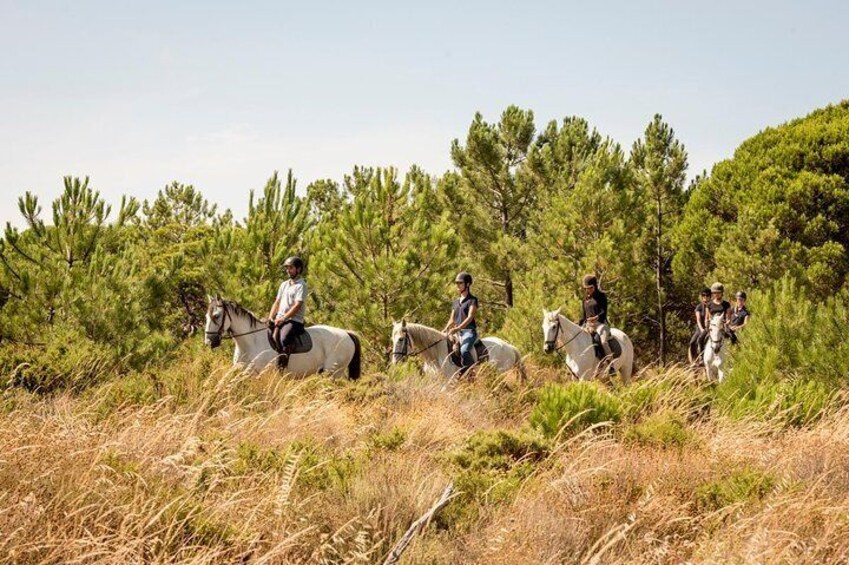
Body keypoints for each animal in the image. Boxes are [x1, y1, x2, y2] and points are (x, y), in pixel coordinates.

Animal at [207, 296, 362, 378]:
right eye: (206, 316)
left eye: (217, 316)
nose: (209, 341)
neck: (251, 342)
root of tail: (347, 333)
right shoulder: (241, 369)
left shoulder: (257, 372)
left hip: (333, 372)